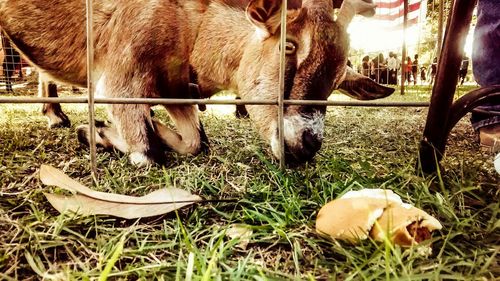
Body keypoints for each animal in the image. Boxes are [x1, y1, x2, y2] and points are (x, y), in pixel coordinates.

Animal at [0, 0, 392, 165]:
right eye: (289, 45)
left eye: (339, 80)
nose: (307, 145)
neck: (193, 24)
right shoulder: (121, 72)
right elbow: (147, 155)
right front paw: (96, 132)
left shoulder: (175, 89)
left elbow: (195, 143)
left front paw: (147, 128)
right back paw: (57, 117)